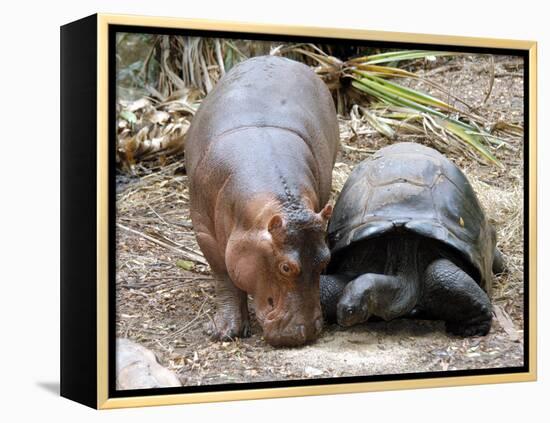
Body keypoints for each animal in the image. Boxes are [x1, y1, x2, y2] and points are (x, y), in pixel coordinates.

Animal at [185, 55, 340, 348]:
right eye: (286, 267)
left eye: (325, 260)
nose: (306, 331)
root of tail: (277, 56)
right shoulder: (204, 233)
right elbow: (223, 276)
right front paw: (224, 331)